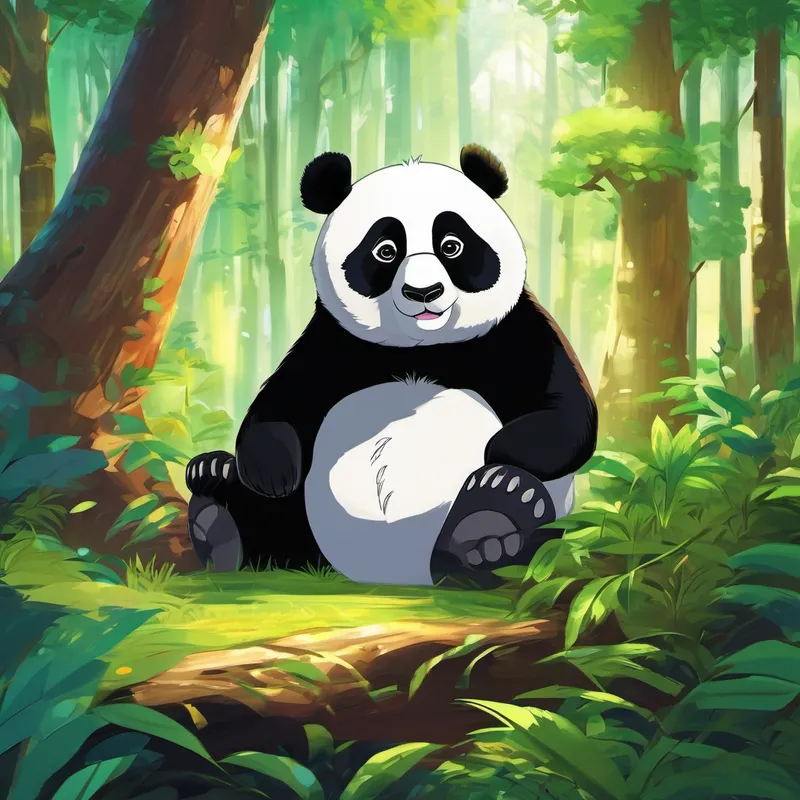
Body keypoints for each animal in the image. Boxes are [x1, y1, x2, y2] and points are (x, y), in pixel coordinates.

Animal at [185, 144, 598, 587]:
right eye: (385, 250)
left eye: (452, 245)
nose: (424, 292)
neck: (421, 349)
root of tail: (399, 572)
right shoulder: (329, 343)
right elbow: (281, 403)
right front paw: (272, 472)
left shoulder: (519, 330)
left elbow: (566, 413)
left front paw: (498, 448)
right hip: (301, 529)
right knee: (271, 527)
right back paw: (214, 504)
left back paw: (492, 517)